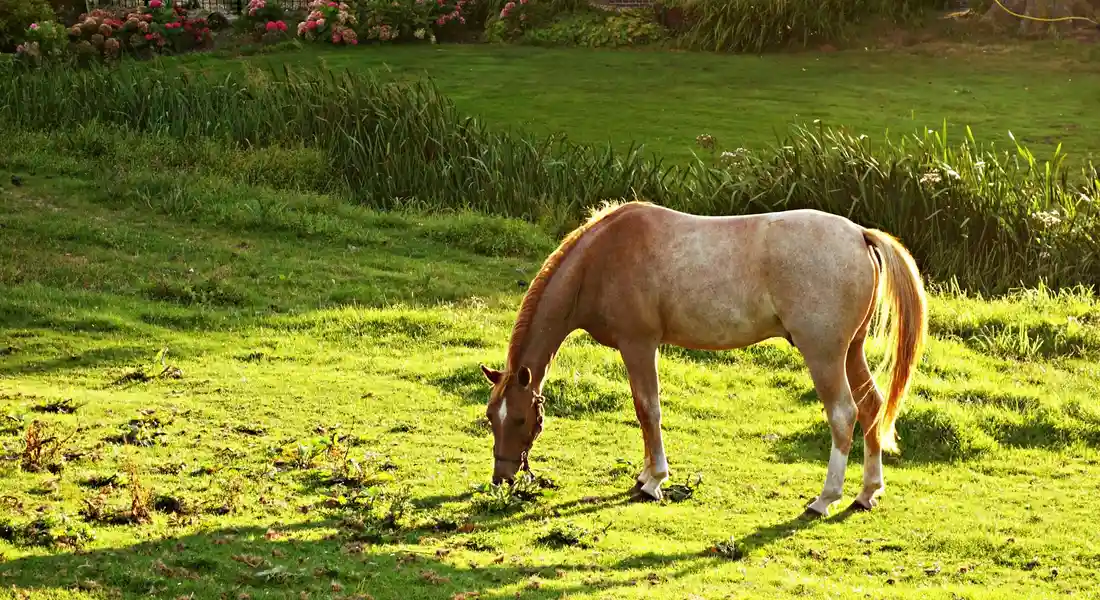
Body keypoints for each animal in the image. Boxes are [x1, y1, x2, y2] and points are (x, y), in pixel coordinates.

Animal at [479, 200, 927, 517]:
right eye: (490, 418)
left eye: (519, 419)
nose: (502, 478)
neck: (602, 259)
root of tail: (859, 235)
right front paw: (646, 474)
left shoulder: (638, 345)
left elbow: (647, 409)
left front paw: (654, 481)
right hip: (851, 351)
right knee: (872, 407)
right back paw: (867, 492)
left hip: (825, 355)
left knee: (843, 415)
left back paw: (825, 498)